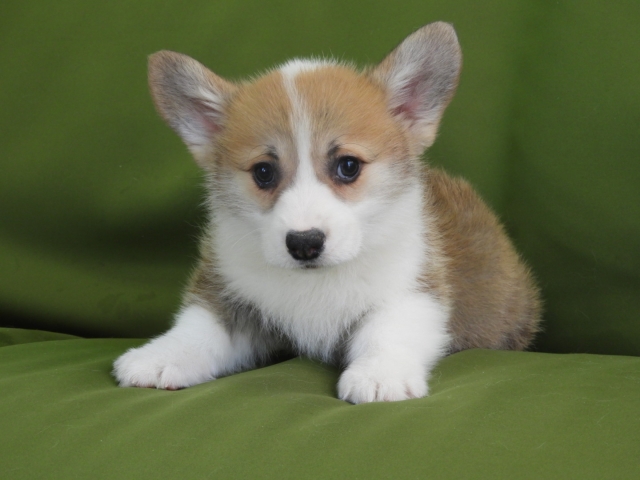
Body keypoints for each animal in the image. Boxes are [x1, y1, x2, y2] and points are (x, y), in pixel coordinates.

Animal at [113, 22, 541, 403]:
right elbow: (199, 326)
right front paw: (160, 356)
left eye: (348, 166)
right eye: (263, 172)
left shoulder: (414, 289)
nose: (304, 243)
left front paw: (379, 376)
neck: (315, 282)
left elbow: (388, 330)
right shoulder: (230, 293)